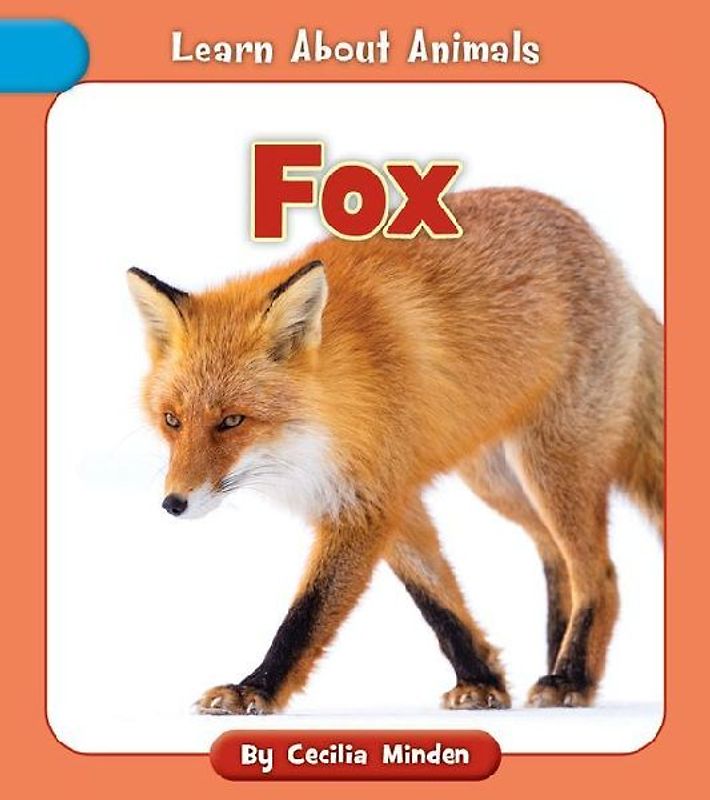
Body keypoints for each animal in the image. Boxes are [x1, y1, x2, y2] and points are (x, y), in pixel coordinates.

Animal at [127, 187, 663, 714]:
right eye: (172, 420)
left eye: (232, 421)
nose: (173, 503)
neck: (330, 411)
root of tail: (608, 255)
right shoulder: (389, 497)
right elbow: (437, 600)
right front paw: (481, 681)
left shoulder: (368, 503)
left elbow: (307, 614)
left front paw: (254, 689)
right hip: (495, 479)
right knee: (554, 554)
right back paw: (557, 661)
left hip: (551, 465)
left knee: (601, 574)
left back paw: (571, 677)